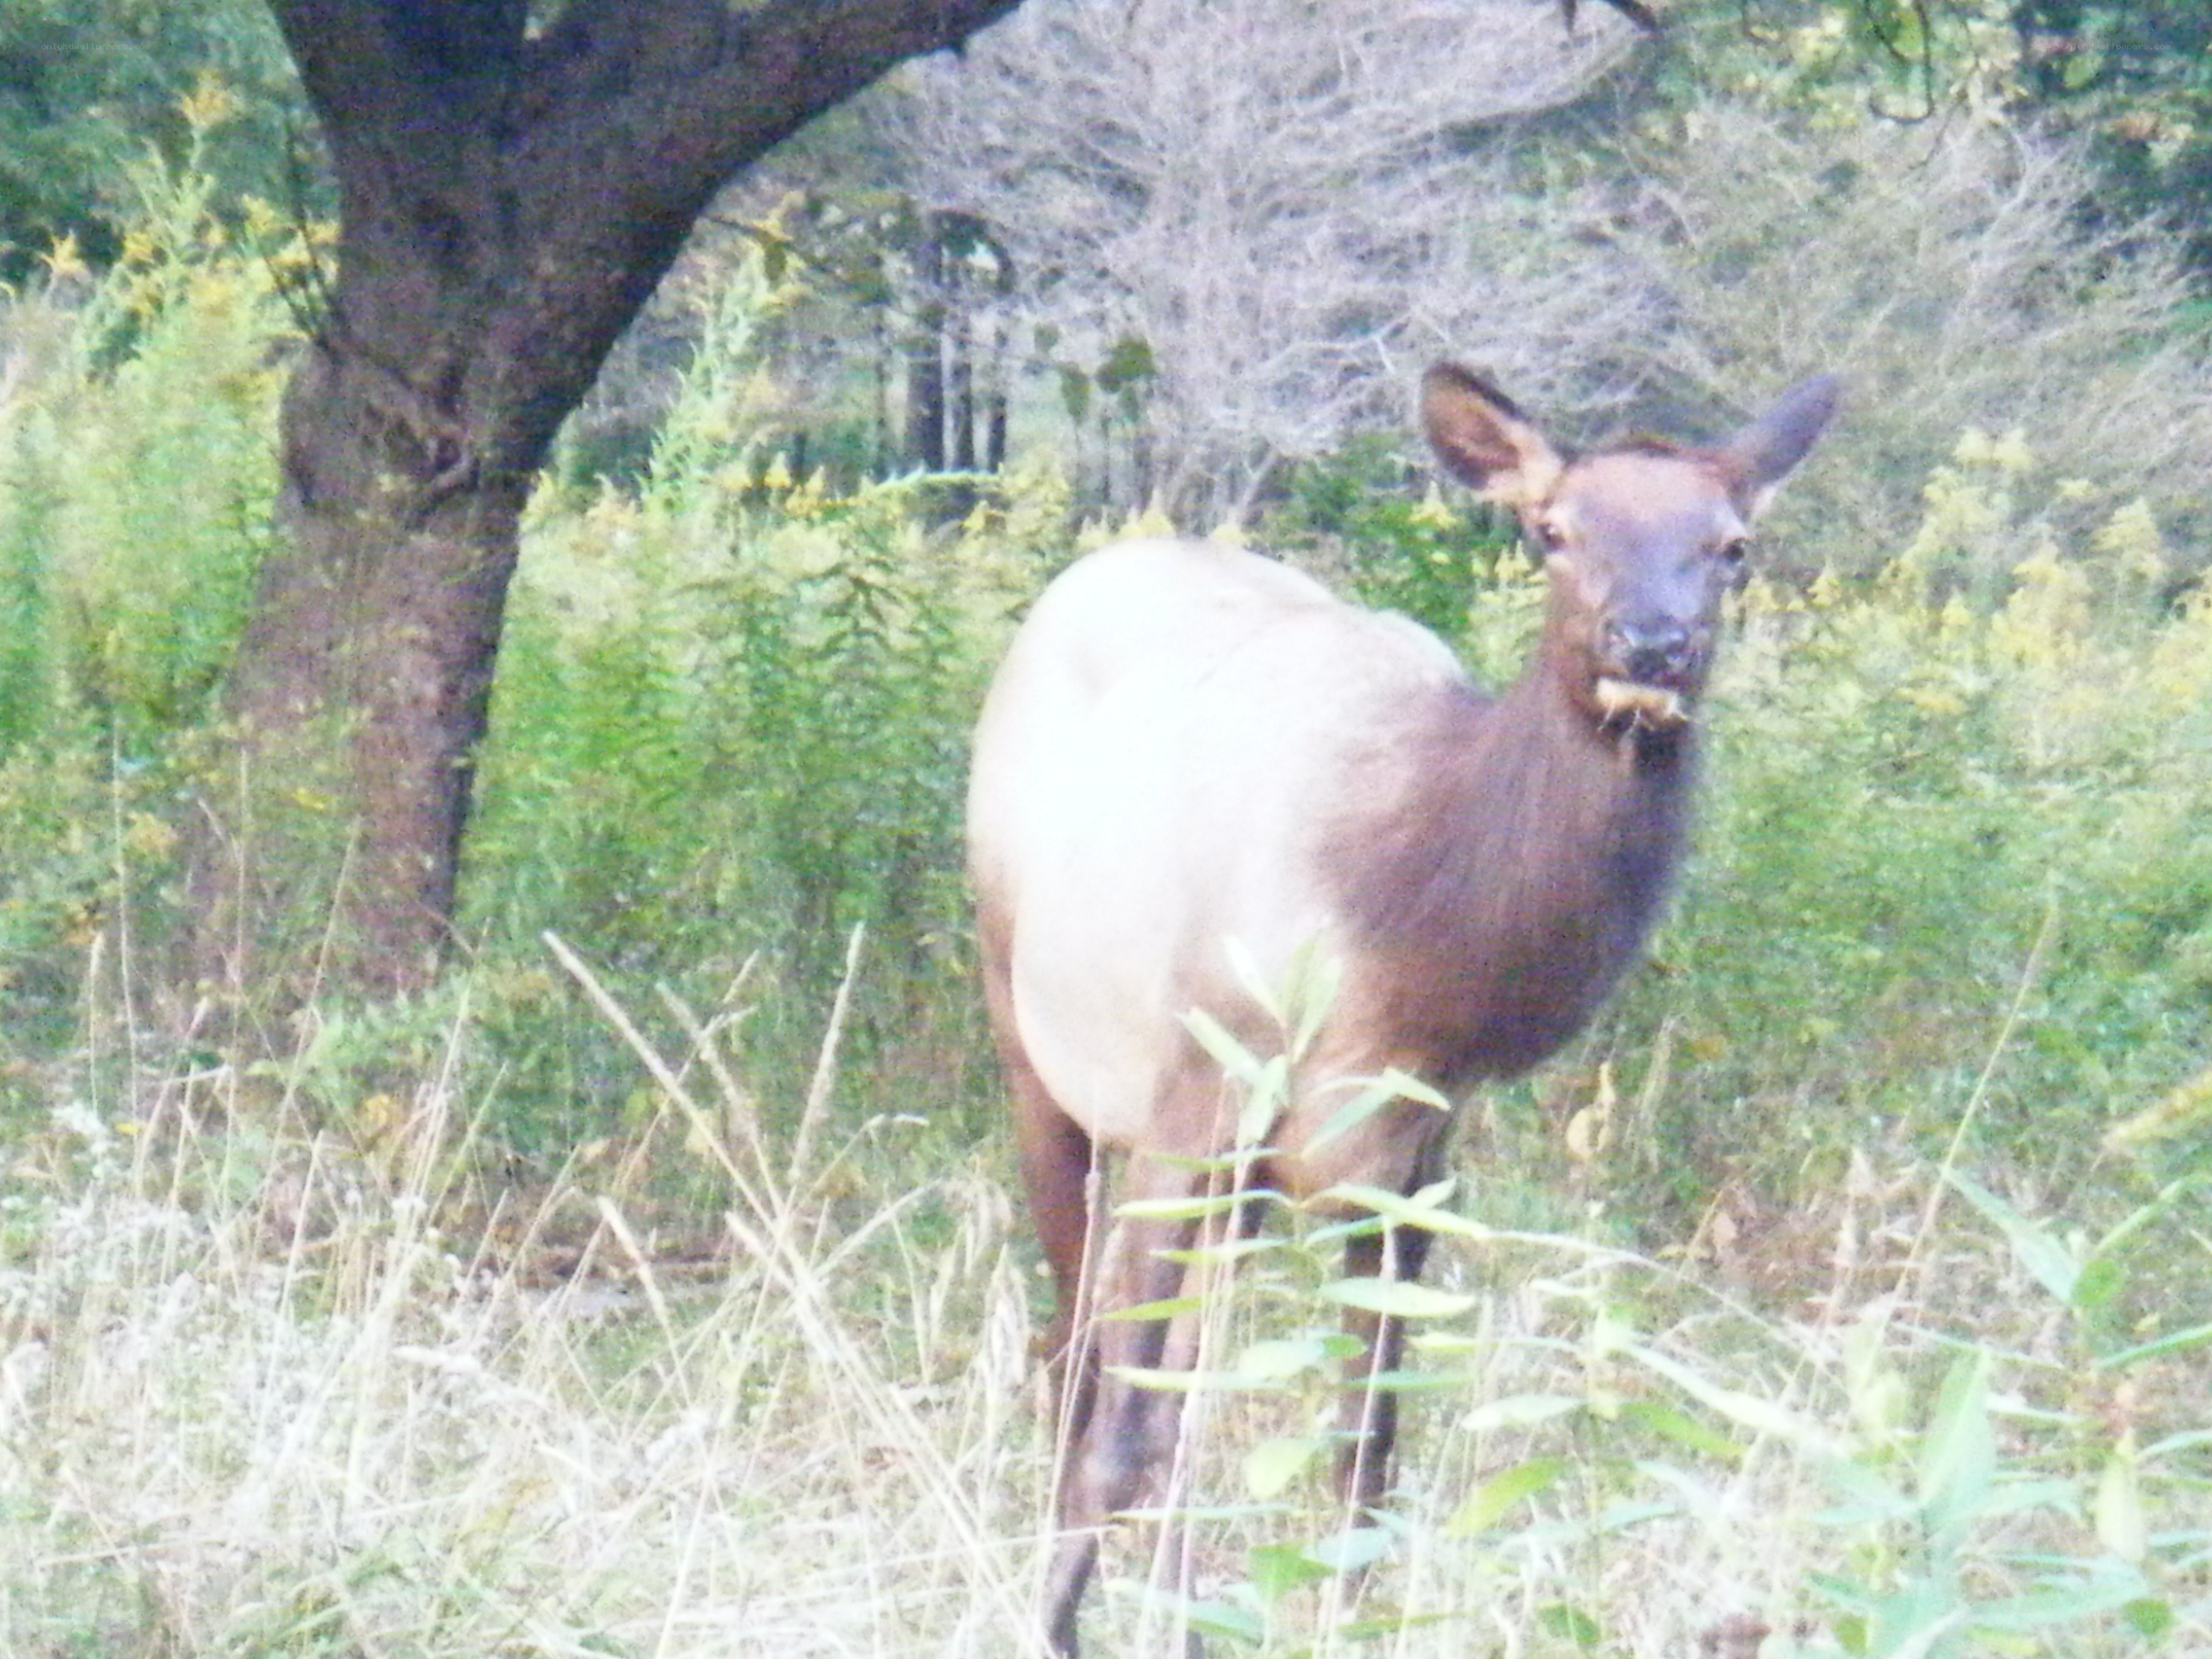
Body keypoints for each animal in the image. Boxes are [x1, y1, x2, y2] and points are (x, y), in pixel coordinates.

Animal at [966, 363, 1838, 1656]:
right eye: (1552, 531)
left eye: (1730, 545)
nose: (1651, 644)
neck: (1400, 942)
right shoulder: (1192, 1098)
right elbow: (1119, 1437)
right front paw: (1053, 1623)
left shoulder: (1412, 1154)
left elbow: (1362, 1453)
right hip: (1031, 1040)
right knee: (1079, 1361)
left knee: (1189, 1393)